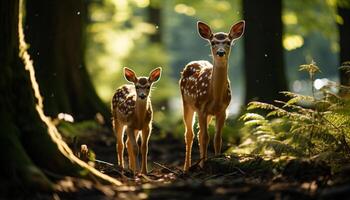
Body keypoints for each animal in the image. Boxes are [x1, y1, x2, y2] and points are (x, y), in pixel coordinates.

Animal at [180, 20, 246, 171]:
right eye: (213, 42)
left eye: (228, 42)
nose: (220, 52)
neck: (215, 97)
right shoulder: (201, 108)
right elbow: (205, 137)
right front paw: (204, 166)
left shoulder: (223, 110)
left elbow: (217, 138)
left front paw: (217, 160)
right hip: (187, 103)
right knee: (189, 134)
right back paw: (187, 167)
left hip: (208, 113)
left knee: (198, 133)